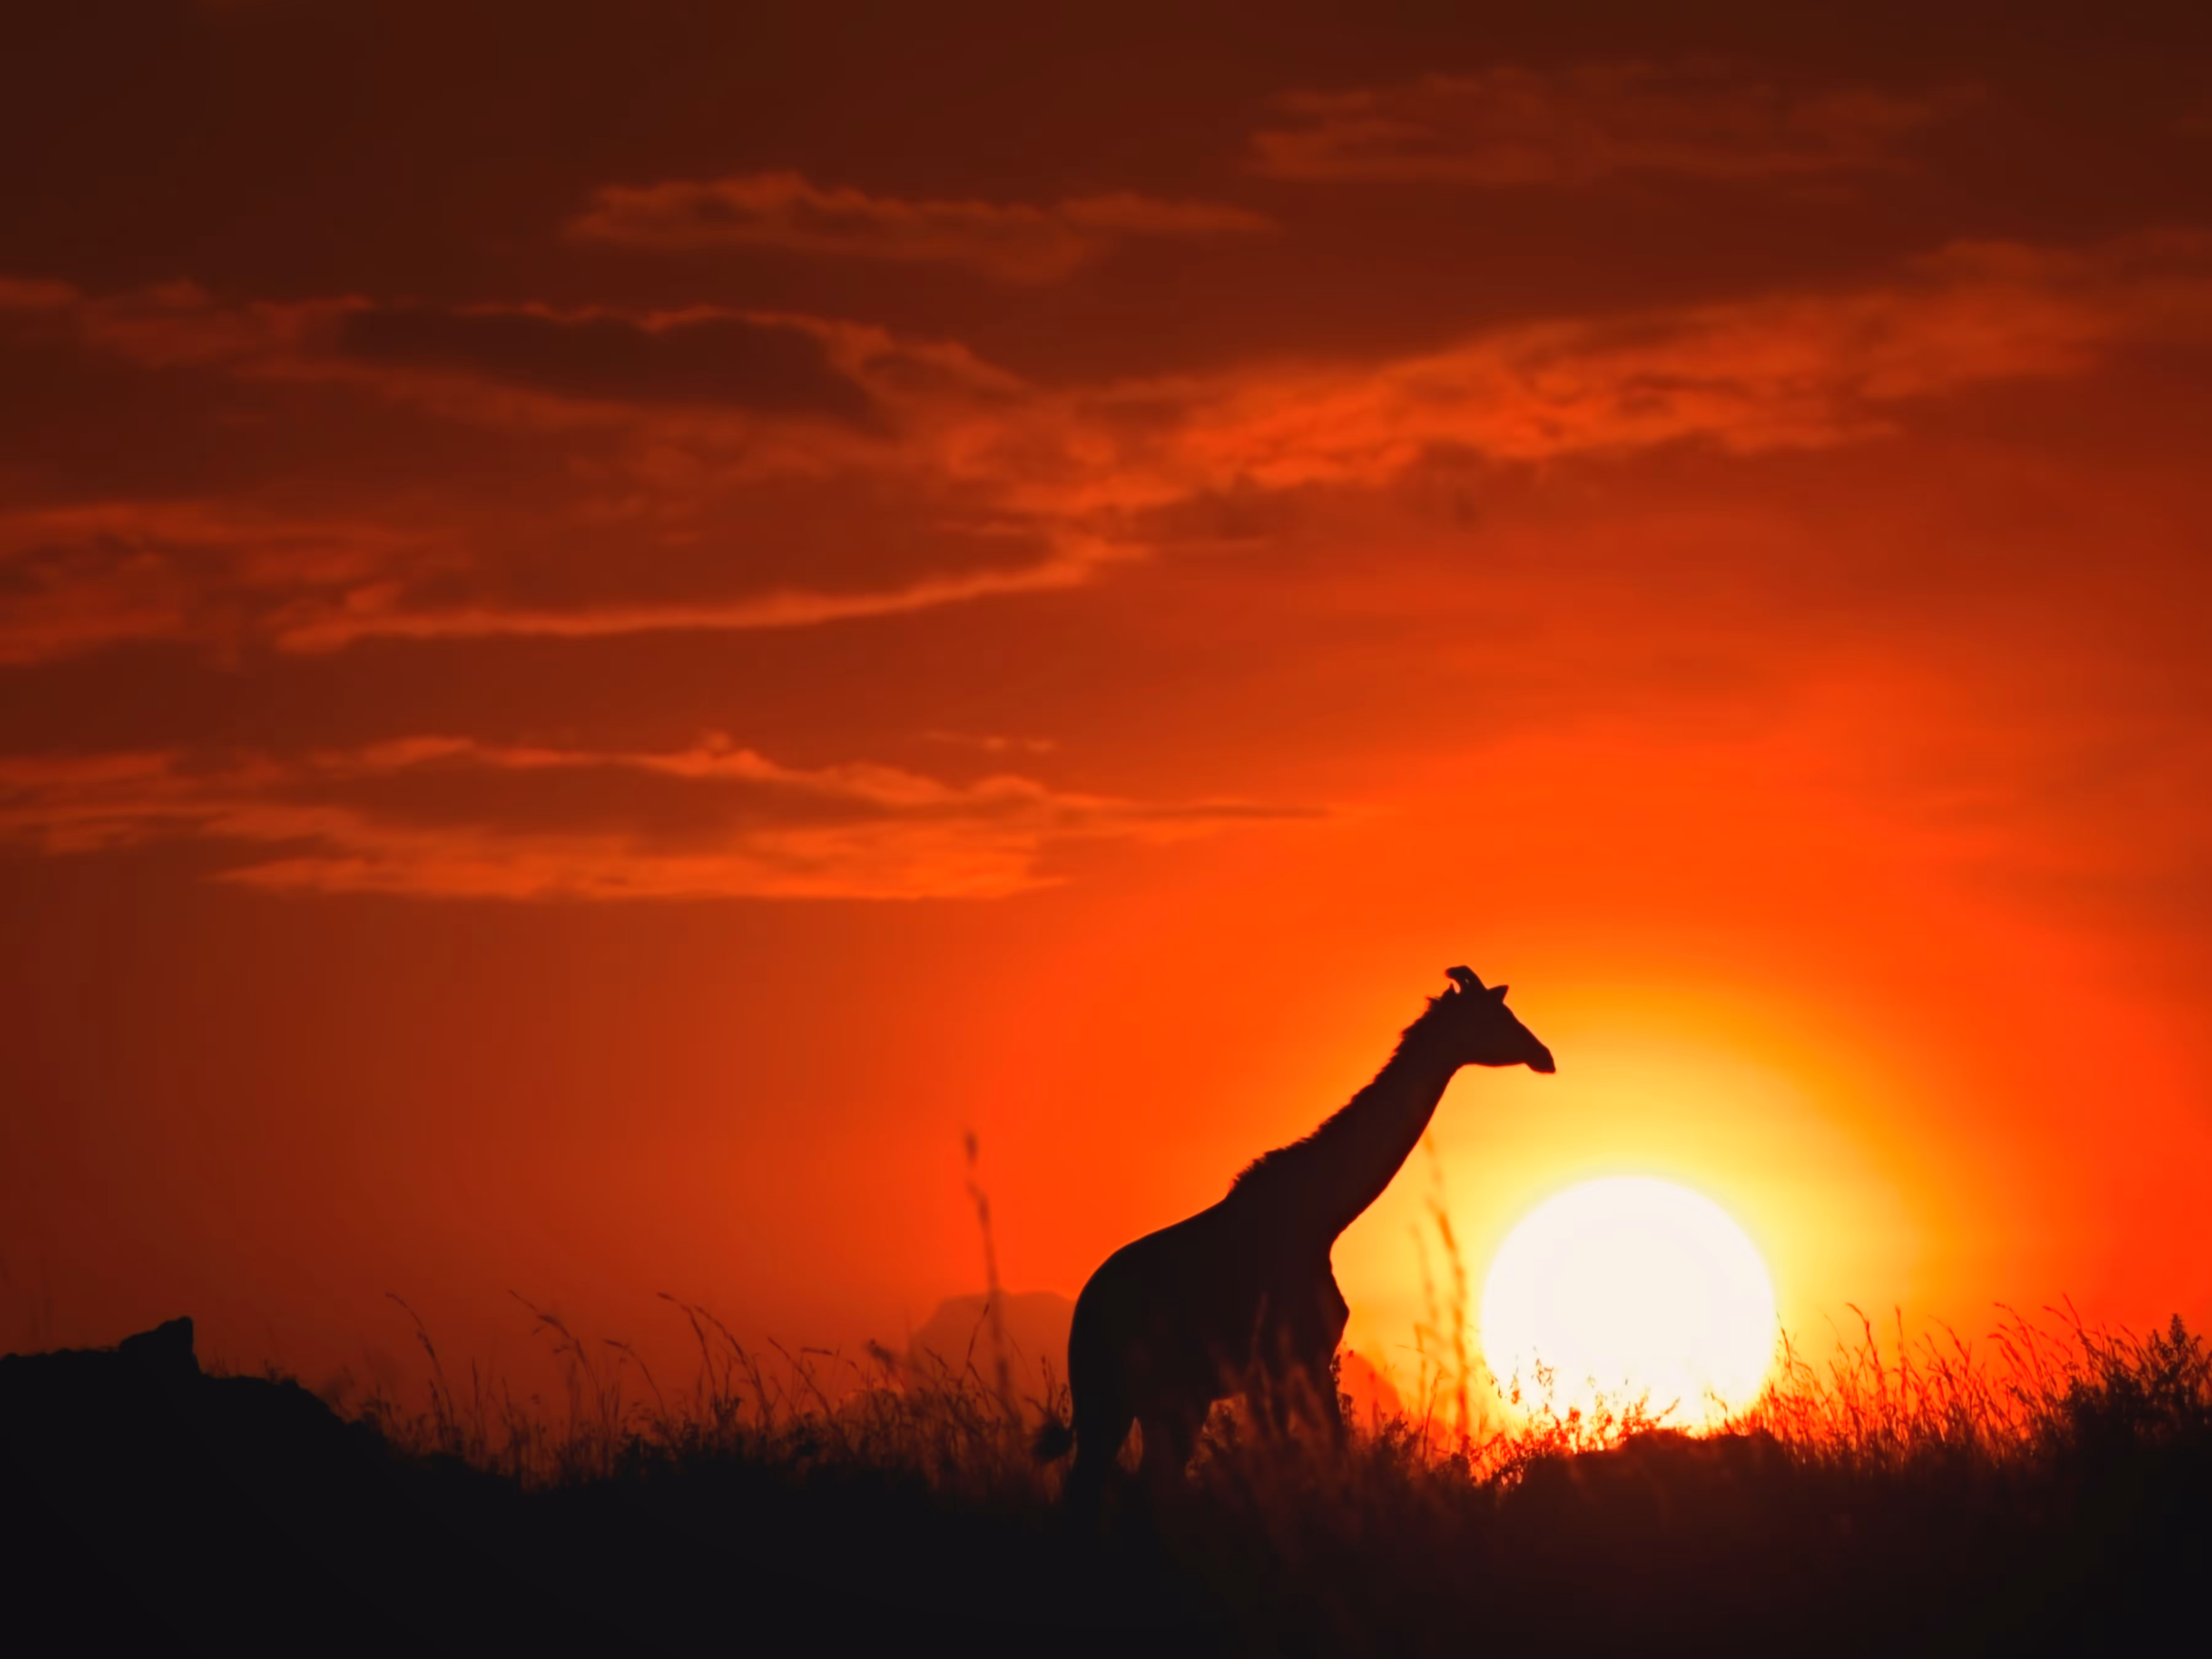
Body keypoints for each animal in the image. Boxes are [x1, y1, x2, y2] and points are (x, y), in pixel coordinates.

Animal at [1039, 966, 1555, 1512]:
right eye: (1497, 1016)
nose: (1545, 1055)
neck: (1324, 1217)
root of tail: (1084, 1314)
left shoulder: (1284, 1370)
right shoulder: (1296, 1359)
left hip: (1157, 1400)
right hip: (1128, 1398)